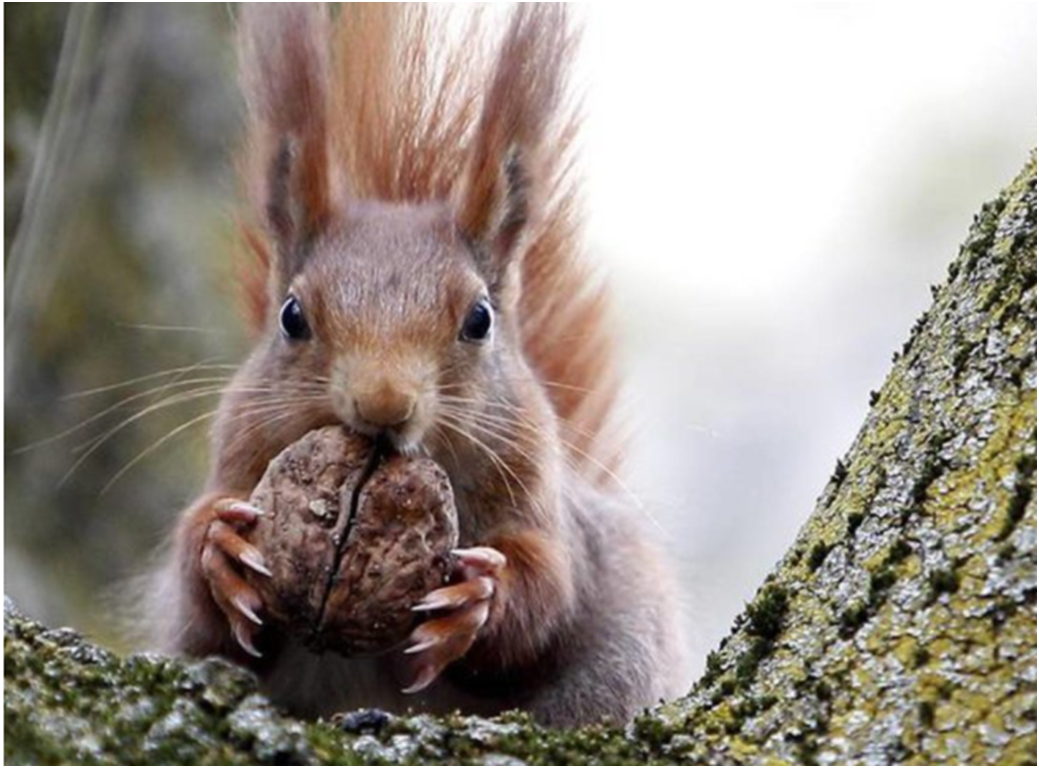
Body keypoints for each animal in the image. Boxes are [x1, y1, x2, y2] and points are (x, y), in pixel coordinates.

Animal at [150, 0, 689, 727]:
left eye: (479, 319)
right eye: (291, 316)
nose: (383, 403)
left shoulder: (543, 502)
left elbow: (547, 591)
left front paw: (478, 596)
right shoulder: (239, 454)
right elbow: (205, 617)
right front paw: (219, 551)